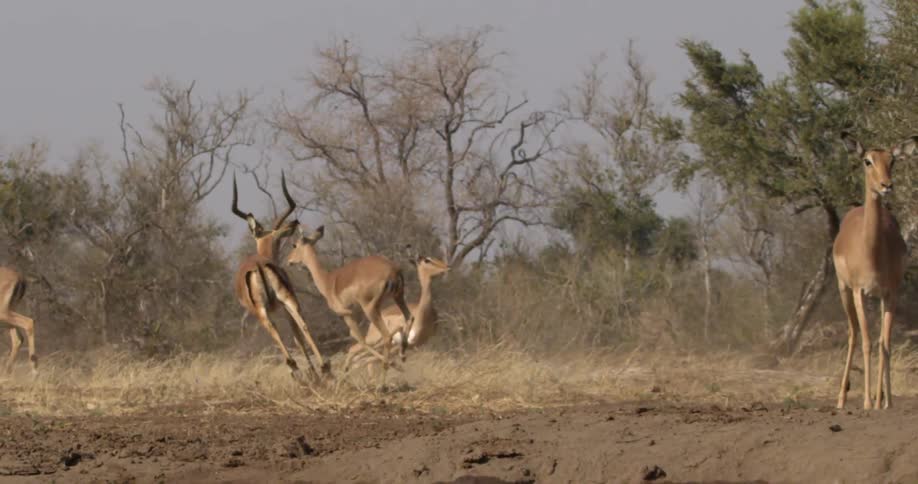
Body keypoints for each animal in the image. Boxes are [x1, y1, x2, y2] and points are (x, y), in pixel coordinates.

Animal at [232, 173, 329, 381]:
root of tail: (259, 265)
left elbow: (293, 336)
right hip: (288, 299)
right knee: (303, 325)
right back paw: (324, 367)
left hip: (265, 310)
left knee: (277, 330)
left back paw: (298, 370)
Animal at [285, 225, 413, 373]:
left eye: (294, 245)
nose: (289, 260)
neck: (327, 281)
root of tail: (393, 270)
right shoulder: (355, 314)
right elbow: (357, 338)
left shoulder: (346, 314)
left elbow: (359, 339)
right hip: (397, 297)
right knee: (409, 318)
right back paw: (402, 356)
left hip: (370, 308)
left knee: (386, 336)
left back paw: (389, 368)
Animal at [835, 132, 916, 409]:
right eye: (867, 161)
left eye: (893, 160)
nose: (886, 185)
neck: (871, 252)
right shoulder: (859, 291)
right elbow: (868, 343)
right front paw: (868, 403)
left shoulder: (890, 293)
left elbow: (884, 344)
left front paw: (885, 401)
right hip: (844, 291)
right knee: (854, 334)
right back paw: (841, 399)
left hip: (877, 298)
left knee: (877, 339)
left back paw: (880, 398)